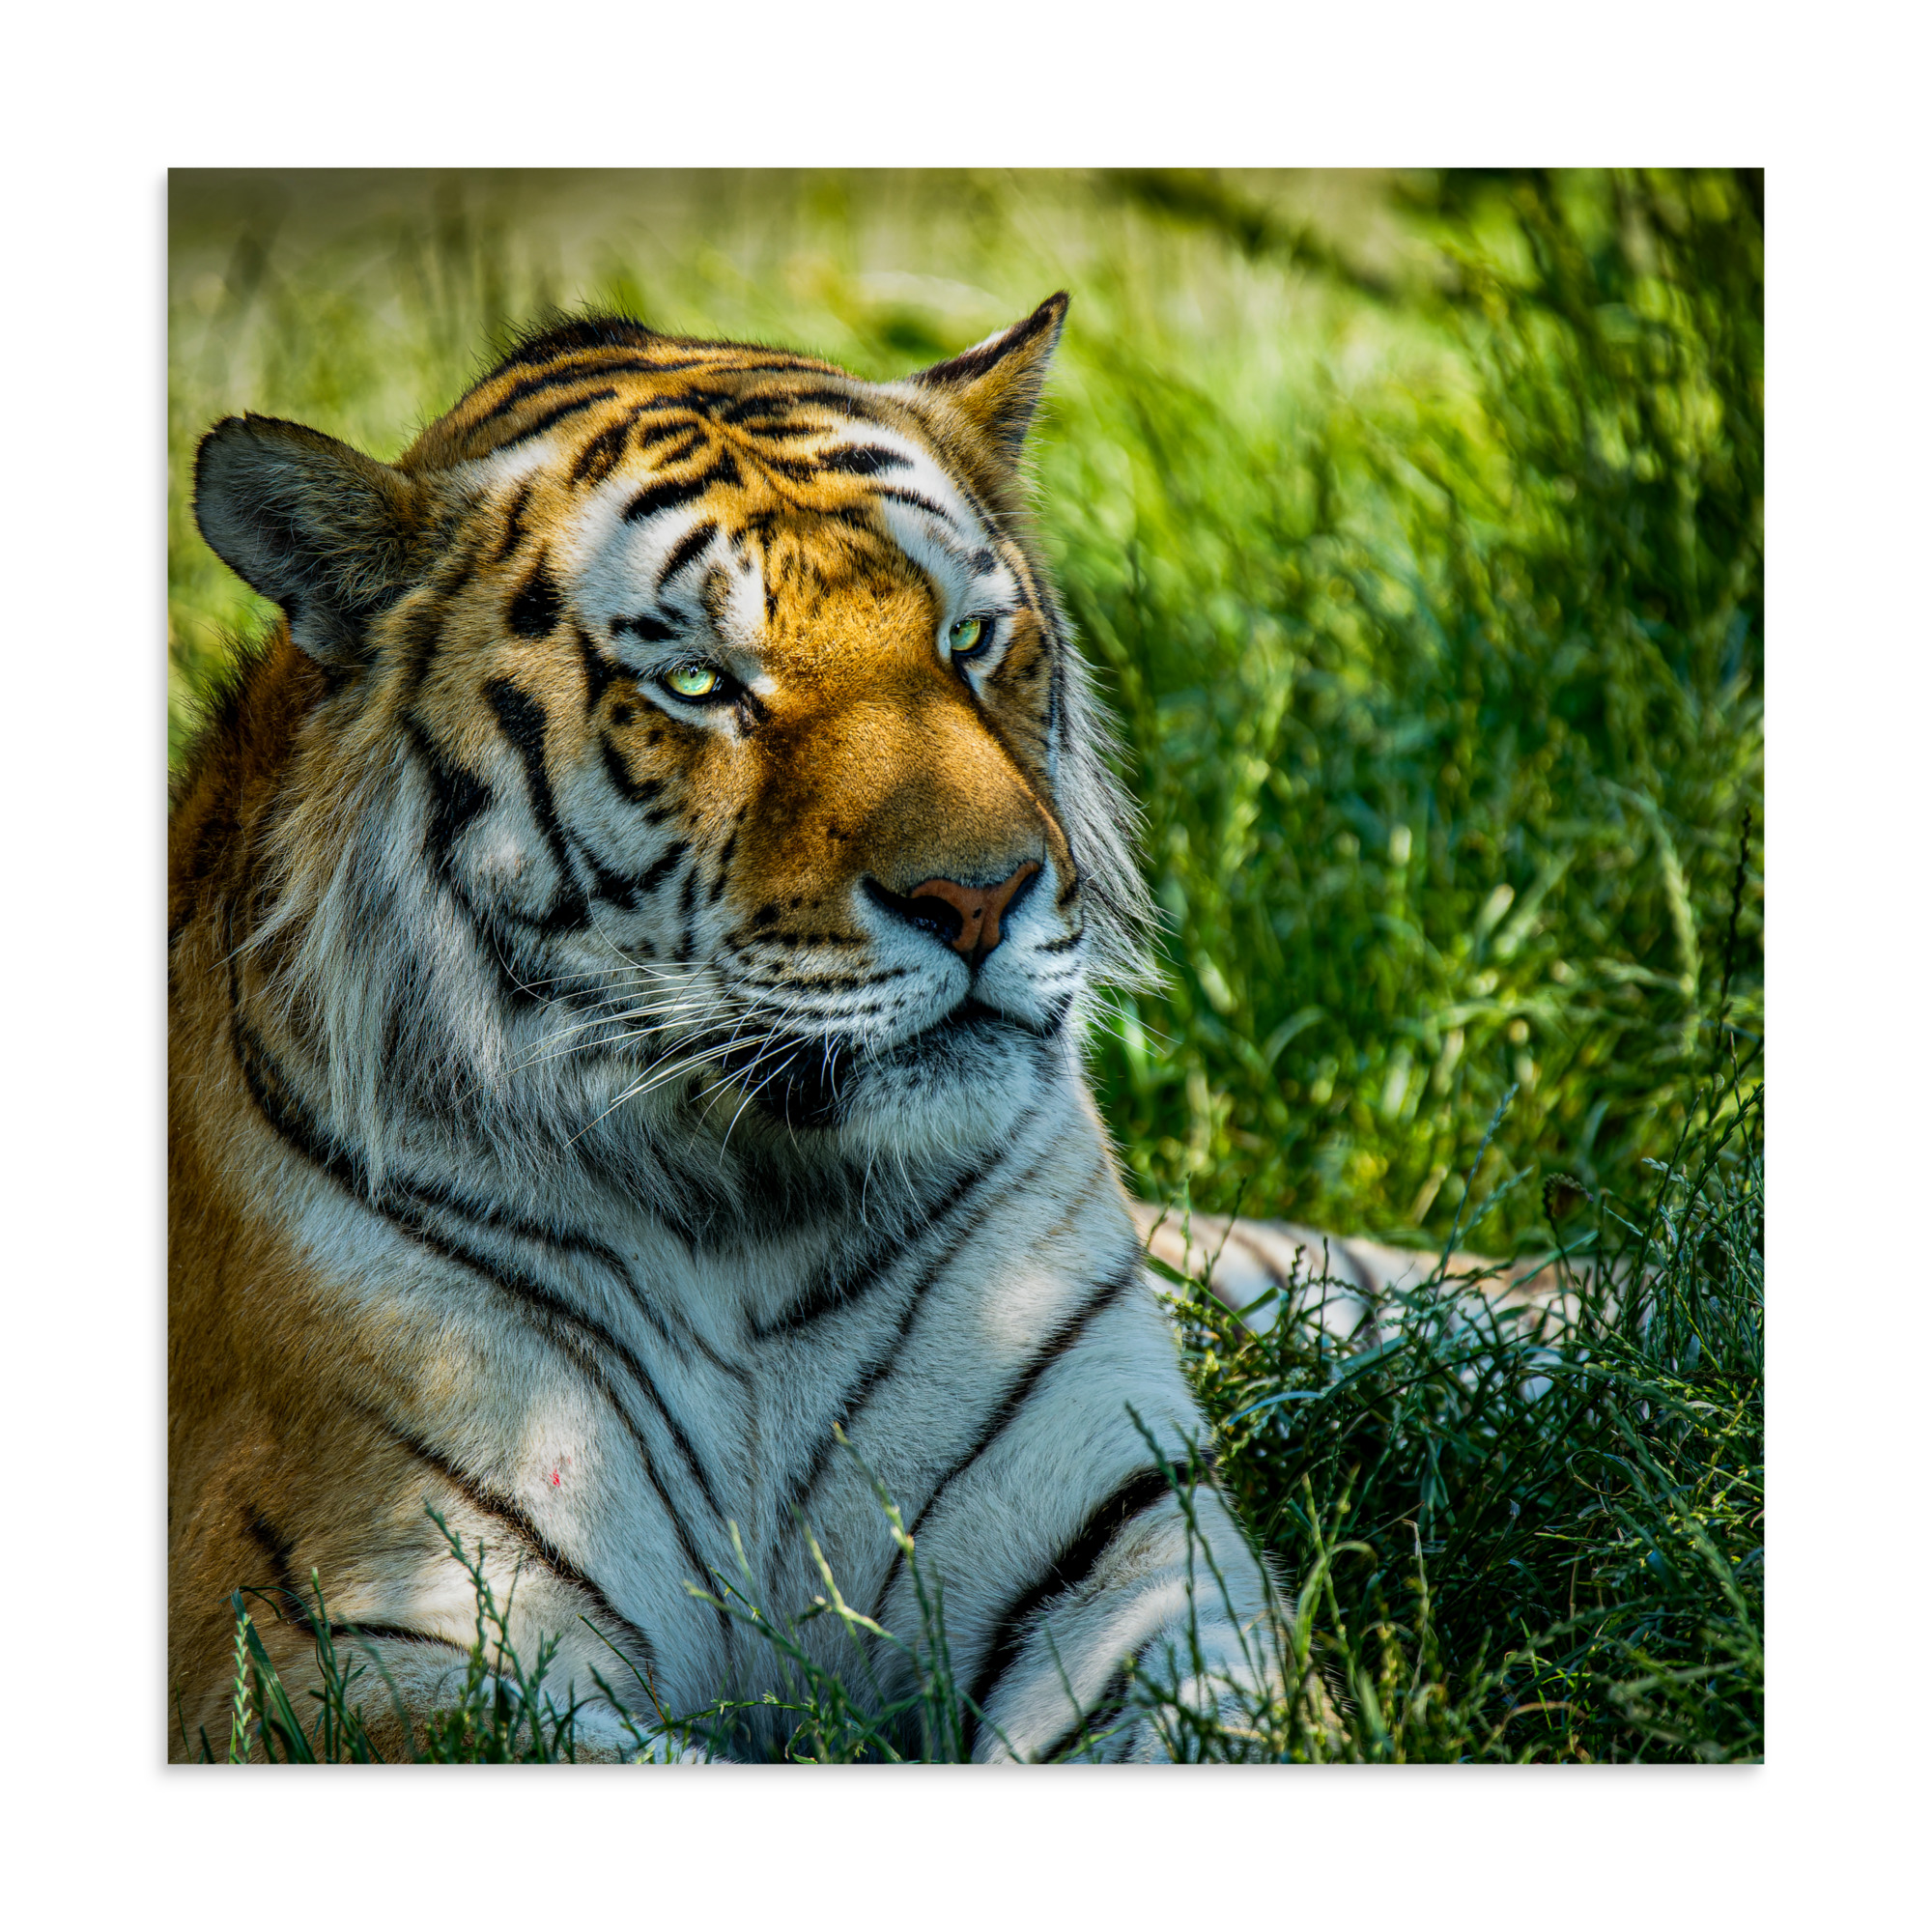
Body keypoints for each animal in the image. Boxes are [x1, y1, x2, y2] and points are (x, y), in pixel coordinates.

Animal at [169, 294, 1292, 1763]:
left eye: (968, 640)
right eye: (701, 685)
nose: (982, 897)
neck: (747, 1212)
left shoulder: (1134, 1547)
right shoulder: (350, 1640)